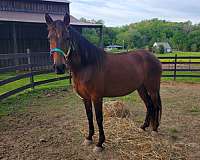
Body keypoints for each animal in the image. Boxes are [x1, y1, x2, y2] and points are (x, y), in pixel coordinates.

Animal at [45, 12, 162, 152]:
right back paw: (144, 126)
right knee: (149, 105)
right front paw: (89, 138)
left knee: (155, 105)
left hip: (152, 88)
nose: (59, 67)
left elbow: (99, 118)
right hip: (141, 88)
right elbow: (89, 116)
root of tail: (154, 57)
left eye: (67, 38)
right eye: (49, 38)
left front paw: (100, 143)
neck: (87, 65)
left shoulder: (97, 97)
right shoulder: (85, 98)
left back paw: (154, 130)